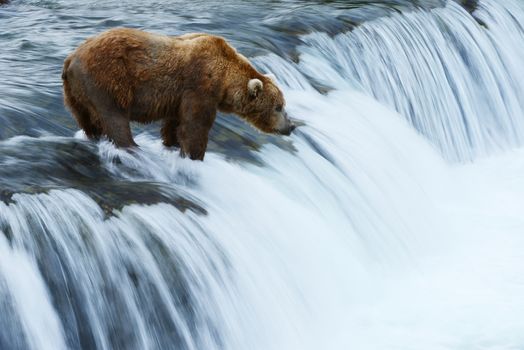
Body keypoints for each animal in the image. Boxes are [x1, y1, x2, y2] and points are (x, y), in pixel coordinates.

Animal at [61, 28, 294, 160]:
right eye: (278, 107)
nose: (291, 126)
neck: (224, 80)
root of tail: (71, 58)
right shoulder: (200, 87)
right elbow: (194, 127)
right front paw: (194, 156)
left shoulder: (178, 98)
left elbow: (175, 124)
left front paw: (171, 144)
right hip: (107, 81)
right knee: (114, 118)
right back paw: (132, 148)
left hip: (74, 93)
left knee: (86, 120)